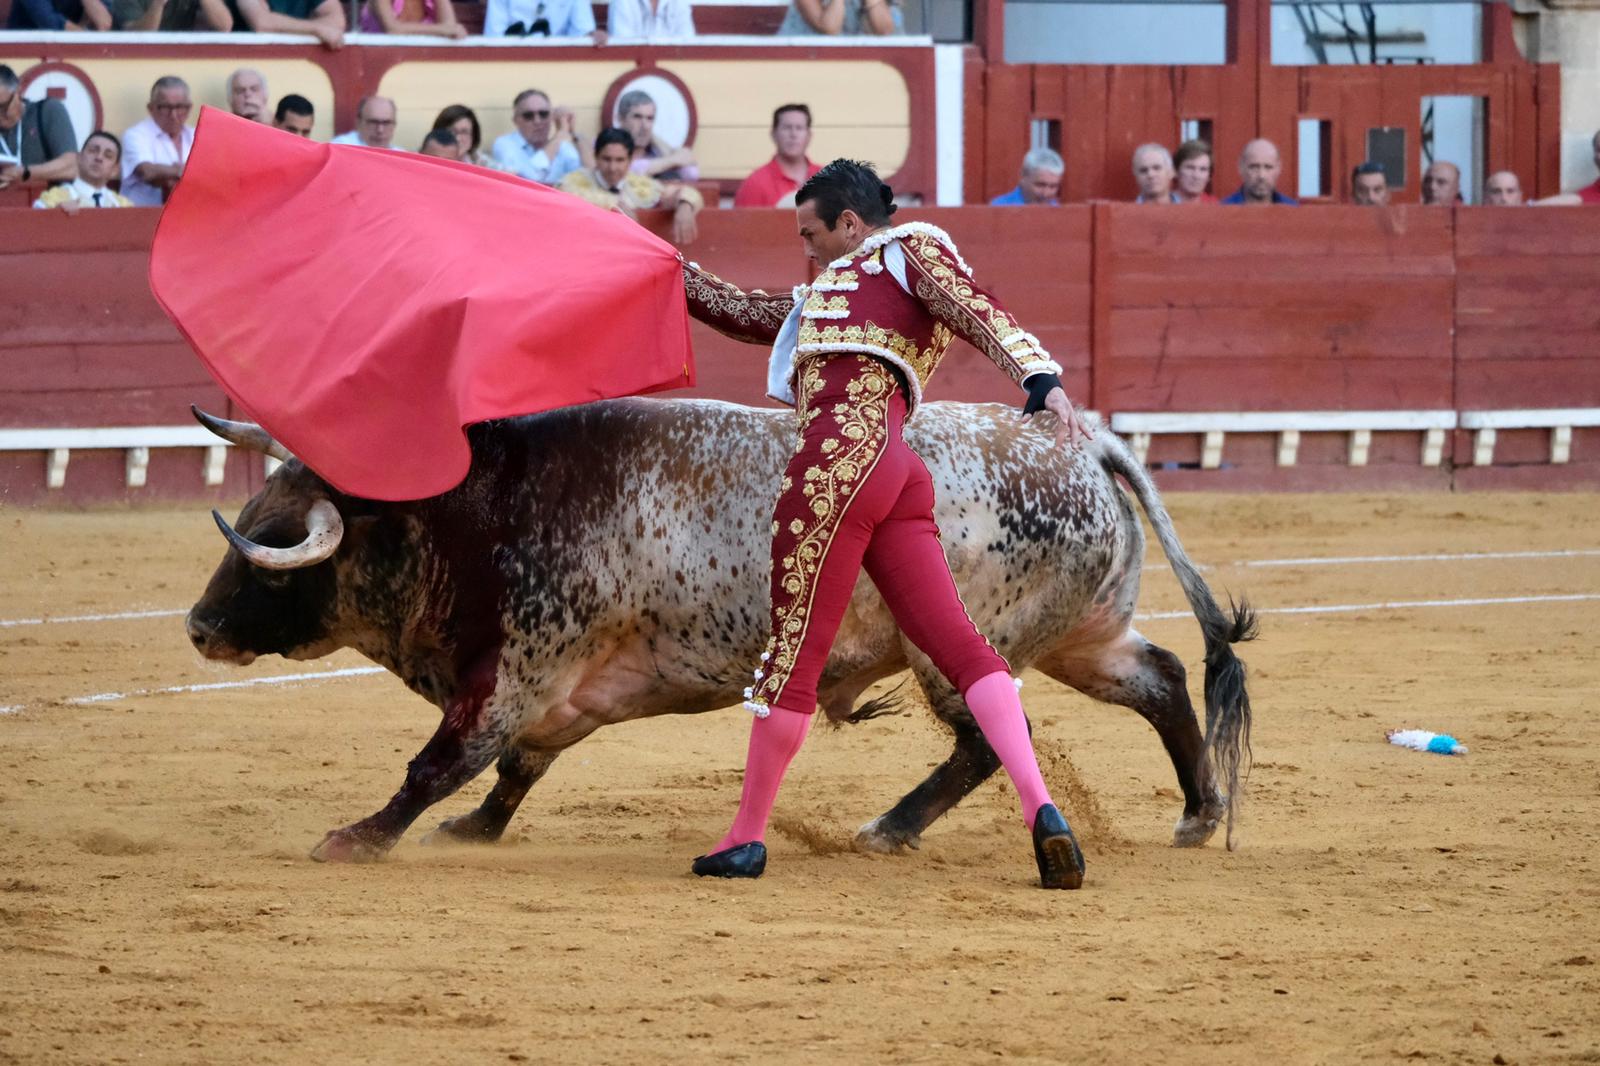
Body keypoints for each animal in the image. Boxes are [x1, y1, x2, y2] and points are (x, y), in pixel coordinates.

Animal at [187, 398, 1254, 864]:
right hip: (1083, 635)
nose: (198, 627)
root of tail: (1083, 441)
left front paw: (358, 838)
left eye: (273, 543)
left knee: (989, 738)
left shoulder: (520, 663)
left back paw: (889, 829)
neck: (471, 512)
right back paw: (1200, 813)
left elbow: (443, 759)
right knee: (1161, 677)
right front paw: (477, 830)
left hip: (956, 644)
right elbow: (517, 767)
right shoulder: (565, 691)